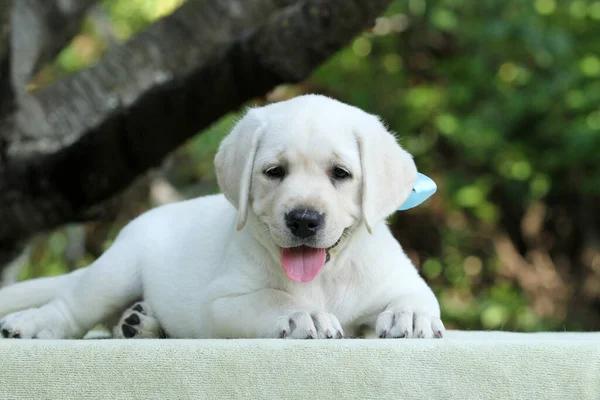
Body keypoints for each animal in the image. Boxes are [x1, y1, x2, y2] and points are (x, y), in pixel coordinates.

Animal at [0, 95, 440, 340]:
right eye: (274, 172)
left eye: (341, 174)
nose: (303, 219)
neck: (323, 278)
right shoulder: (224, 301)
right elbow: (273, 298)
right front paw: (304, 314)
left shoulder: (395, 278)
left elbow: (418, 295)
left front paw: (411, 315)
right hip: (115, 273)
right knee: (71, 308)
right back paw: (31, 324)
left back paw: (140, 323)